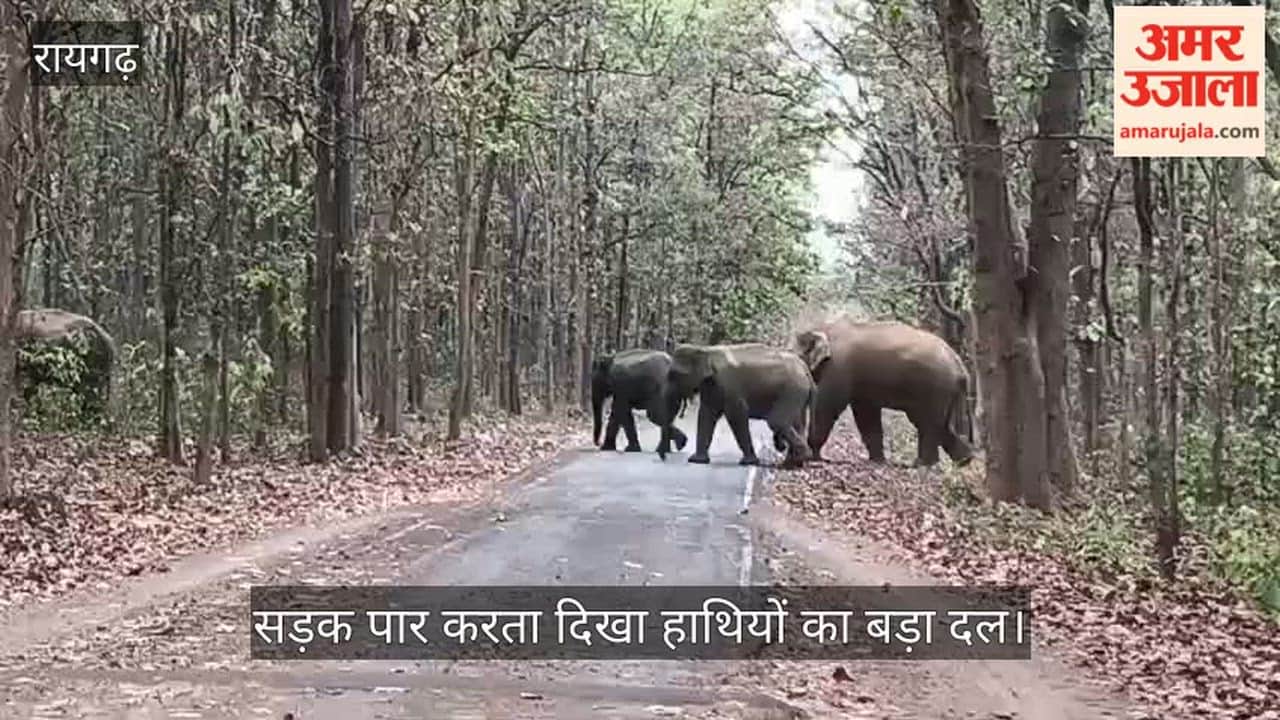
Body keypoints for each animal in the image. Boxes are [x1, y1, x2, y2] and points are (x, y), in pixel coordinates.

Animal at [667, 343, 814, 468]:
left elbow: (736, 415)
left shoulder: (728, 385)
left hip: (792, 389)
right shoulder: (711, 386)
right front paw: (696, 460)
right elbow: (706, 414)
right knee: (797, 423)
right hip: (797, 392)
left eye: (674, 374)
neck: (706, 351)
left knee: (777, 421)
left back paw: (803, 457)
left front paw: (748, 462)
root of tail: (804, 367)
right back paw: (792, 463)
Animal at [794, 317, 973, 467]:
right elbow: (867, 415)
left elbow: (826, 407)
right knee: (938, 425)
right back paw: (963, 461)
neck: (824, 328)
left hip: (936, 387)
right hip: (945, 391)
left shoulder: (838, 367)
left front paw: (813, 457)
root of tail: (960, 365)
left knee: (929, 423)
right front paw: (877, 461)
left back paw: (923, 464)